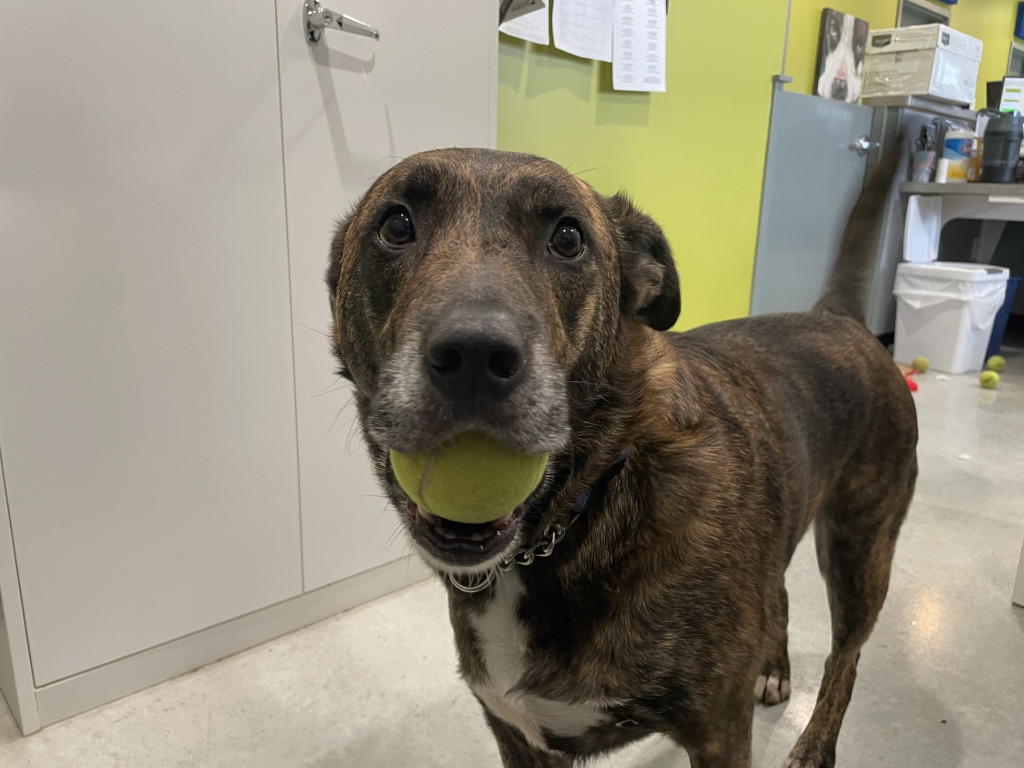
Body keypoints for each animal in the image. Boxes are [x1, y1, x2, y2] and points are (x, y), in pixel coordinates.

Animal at [326, 144, 917, 767]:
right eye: (395, 225)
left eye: (568, 238)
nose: (475, 355)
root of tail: (837, 317)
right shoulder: (516, 734)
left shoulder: (719, 730)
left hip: (860, 554)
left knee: (845, 659)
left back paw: (814, 744)